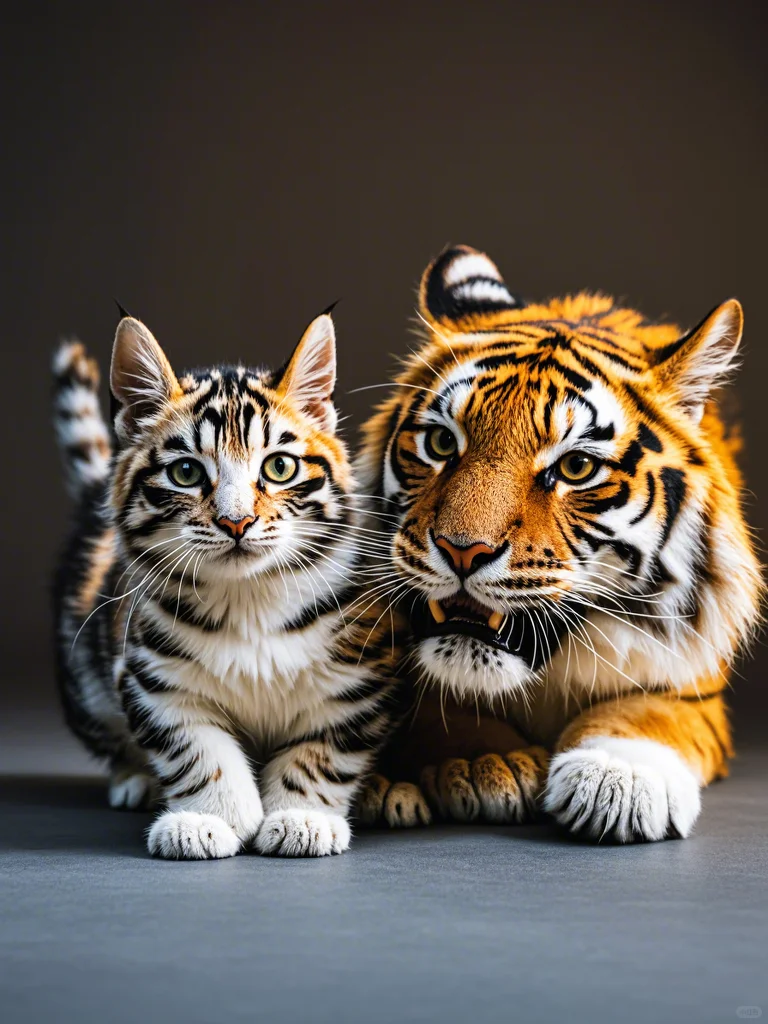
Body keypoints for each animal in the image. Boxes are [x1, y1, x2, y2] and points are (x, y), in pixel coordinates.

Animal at [52, 310, 413, 859]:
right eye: (185, 472)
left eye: (279, 466)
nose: (236, 521)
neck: (249, 599)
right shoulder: (150, 676)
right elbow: (195, 747)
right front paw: (210, 817)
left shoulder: (362, 678)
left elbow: (324, 751)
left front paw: (301, 816)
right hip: (85, 675)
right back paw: (136, 781)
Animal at [356, 244, 762, 843]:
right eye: (441, 443)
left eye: (576, 468)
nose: (462, 551)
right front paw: (483, 764)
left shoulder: (694, 687)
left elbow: (651, 713)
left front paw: (617, 777)